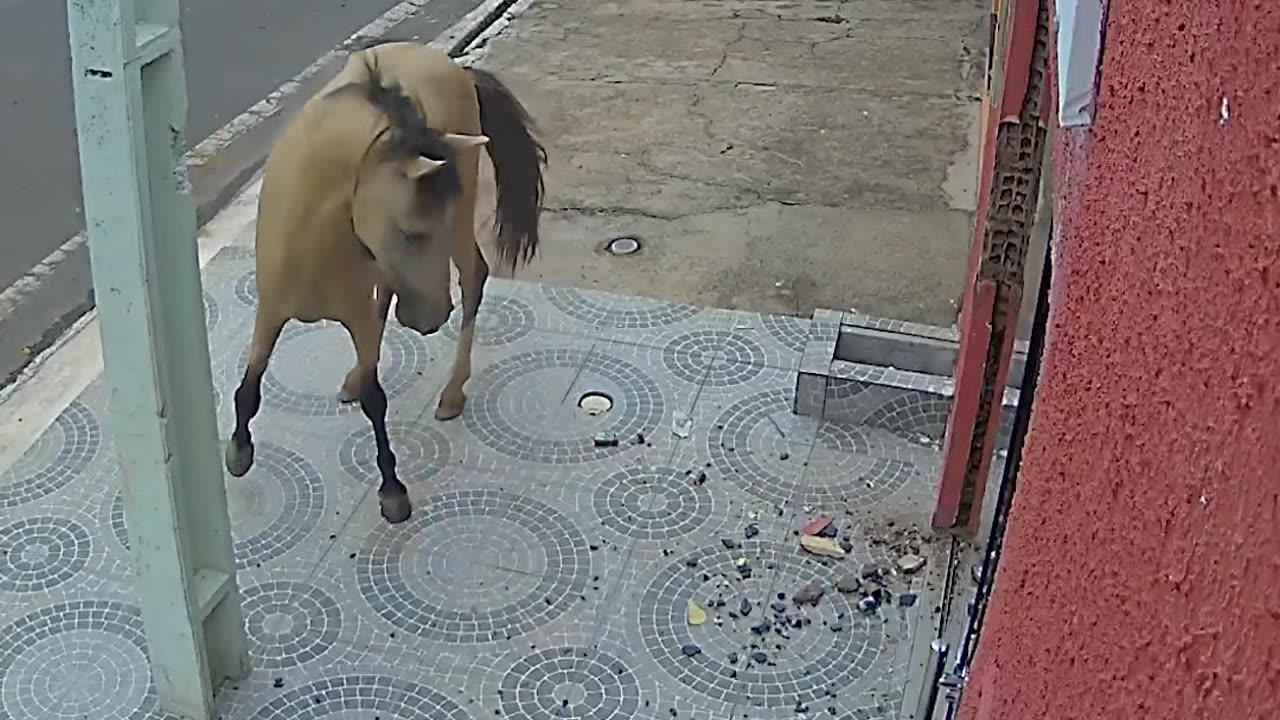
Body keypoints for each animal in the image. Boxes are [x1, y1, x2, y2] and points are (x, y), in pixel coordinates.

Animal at [225, 40, 545, 520]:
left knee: (474, 277)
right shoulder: (271, 308)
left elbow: (376, 401)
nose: (434, 316)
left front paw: (392, 490)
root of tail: (451, 65)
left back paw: (453, 390)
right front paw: (238, 452)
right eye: (411, 232)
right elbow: (251, 381)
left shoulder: (357, 307)